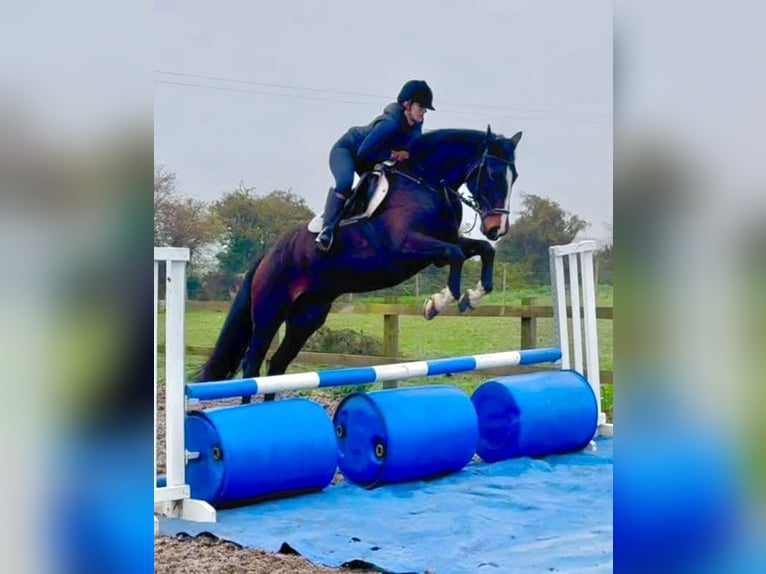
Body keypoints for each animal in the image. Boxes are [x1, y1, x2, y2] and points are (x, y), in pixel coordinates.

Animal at [197, 126, 522, 401]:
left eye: (514, 176)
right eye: (492, 173)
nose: (497, 228)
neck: (427, 184)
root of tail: (267, 255)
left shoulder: (443, 243)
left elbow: (483, 251)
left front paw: (472, 298)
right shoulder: (407, 248)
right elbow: (455, 255)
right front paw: (437, 303)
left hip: (307, 316)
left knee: (277, 364)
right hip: (269, 311)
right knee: (252, 365)